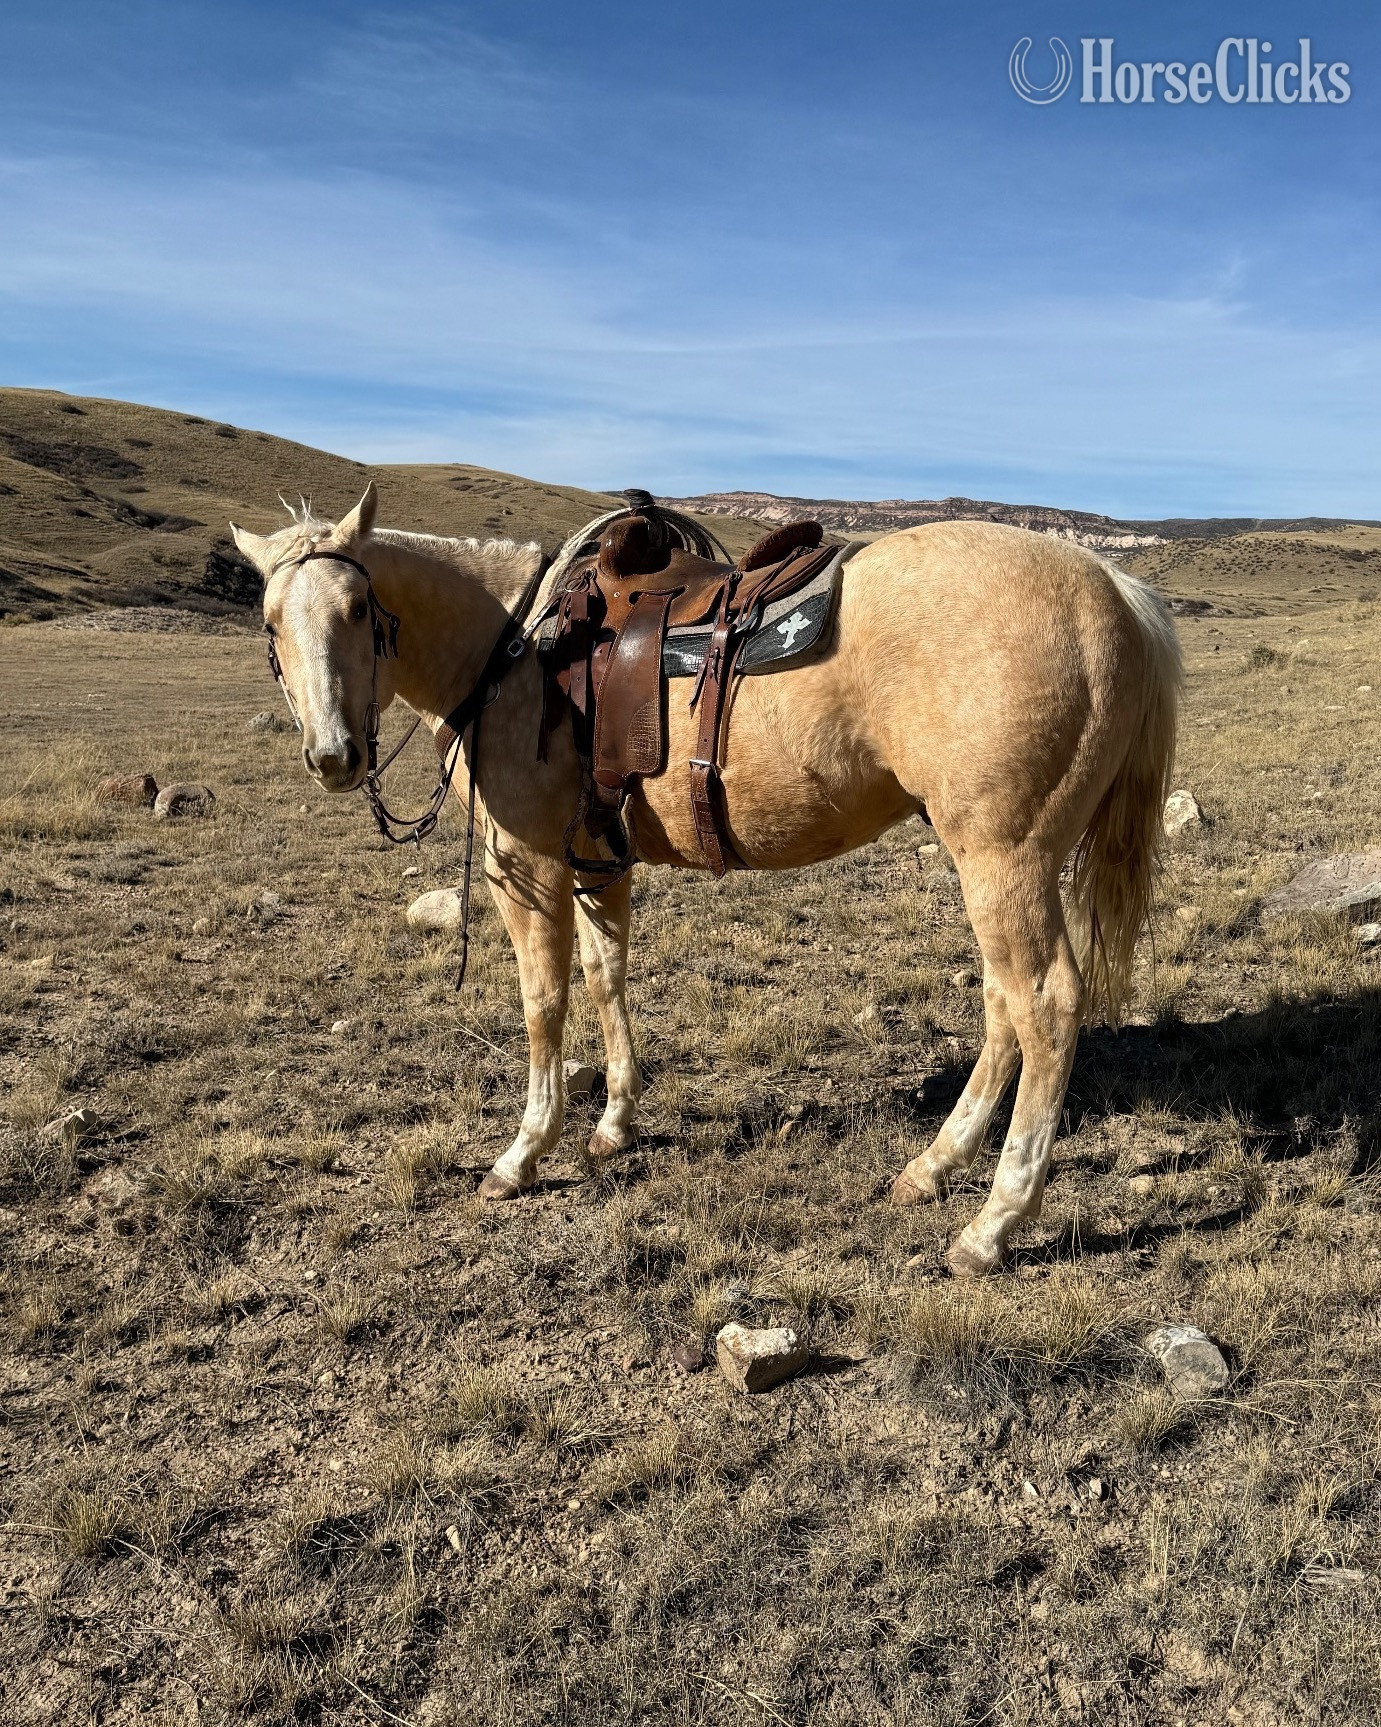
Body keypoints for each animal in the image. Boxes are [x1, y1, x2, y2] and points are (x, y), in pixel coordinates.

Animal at [230, 484, 1181, 1277]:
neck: (506, 652)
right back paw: (932, 1167)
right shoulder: (598, 857)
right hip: (991, 862)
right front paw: (613, 1124)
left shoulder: (525, 864)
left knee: (1044, 1003)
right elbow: (606, 975)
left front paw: (522, 1153)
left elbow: (544, 1002)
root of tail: (1110, 583)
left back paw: (991, 1225)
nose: (333, 757)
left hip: (1003, 857)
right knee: (1000, 1002)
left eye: (359, 607)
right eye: (271, 621)